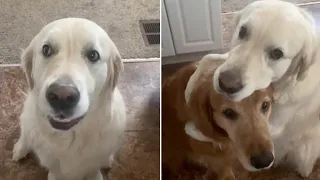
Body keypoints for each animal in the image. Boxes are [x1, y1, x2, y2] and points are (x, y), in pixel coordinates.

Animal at [162, 0, 320, 179]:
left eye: (277, 53)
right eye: (243, 31)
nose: (226, 84)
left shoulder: (274, 124)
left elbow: (219, 136)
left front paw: (192, 127)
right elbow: (208, 57)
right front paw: (192, 82)